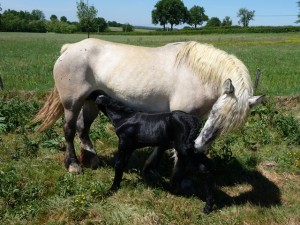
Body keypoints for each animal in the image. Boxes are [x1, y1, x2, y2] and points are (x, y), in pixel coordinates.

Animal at [32, 38, 262, 174]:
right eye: (215, 111)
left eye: (230, 125)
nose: (199, 146)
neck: (197, 72)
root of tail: (69, 48)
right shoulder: (178, 115)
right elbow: (169, 145)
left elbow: (163, 144)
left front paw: (150, 168)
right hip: (72, 103)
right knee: (69, 130)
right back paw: (73, 165)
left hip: (91, 101)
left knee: (83, 128)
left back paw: (91, 159)